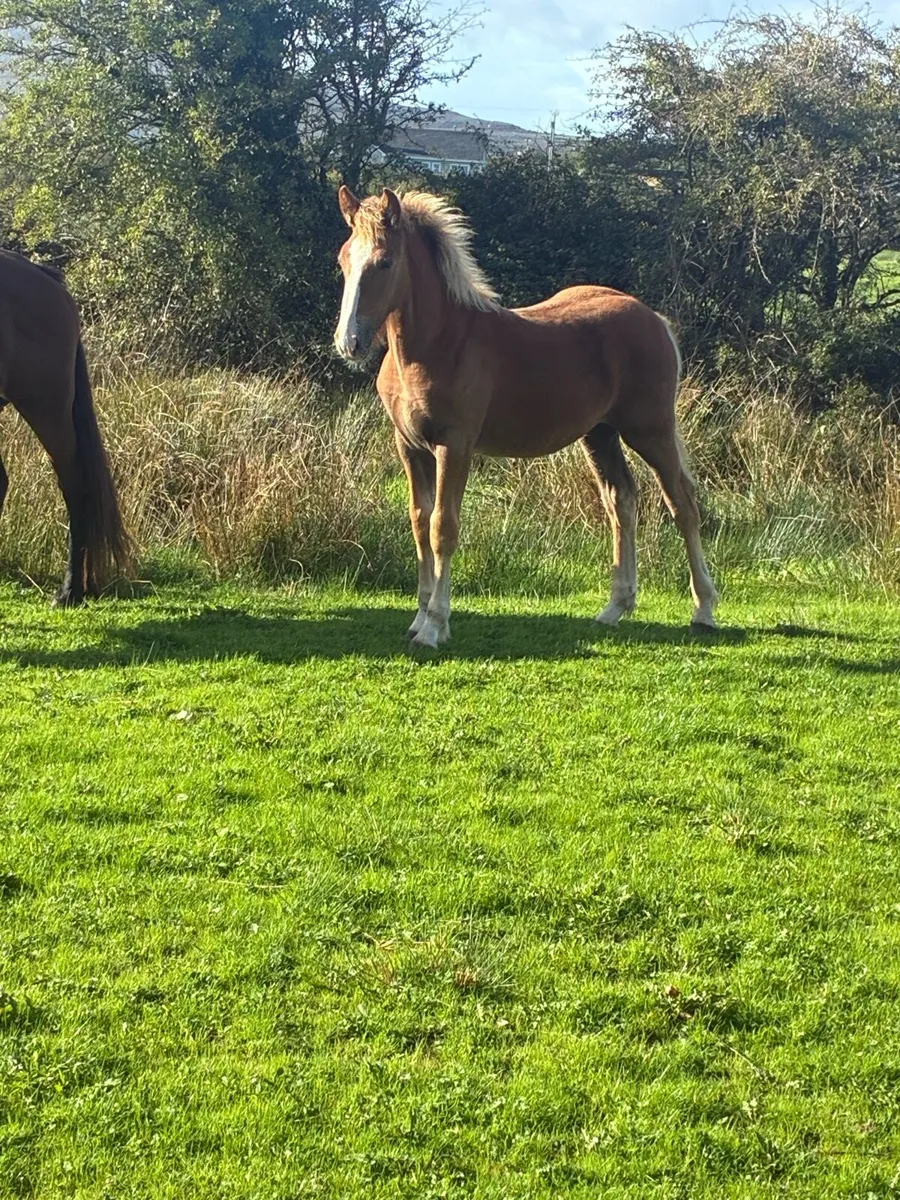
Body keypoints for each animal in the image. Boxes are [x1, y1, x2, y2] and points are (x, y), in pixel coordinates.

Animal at [333, 186, 717, 649]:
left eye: (385, 262)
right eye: (343, 259)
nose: (349, 342)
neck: (438, 344)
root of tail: (653, 318)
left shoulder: (454, 446)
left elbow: (443, 527)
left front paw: (435, 626)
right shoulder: (410, 447)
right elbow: (419, 523)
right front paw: (420, 616)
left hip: (651, 430)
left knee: (682, 504)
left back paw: (704, 610)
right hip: (600, 435)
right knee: (621, 500)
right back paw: (614, 608)